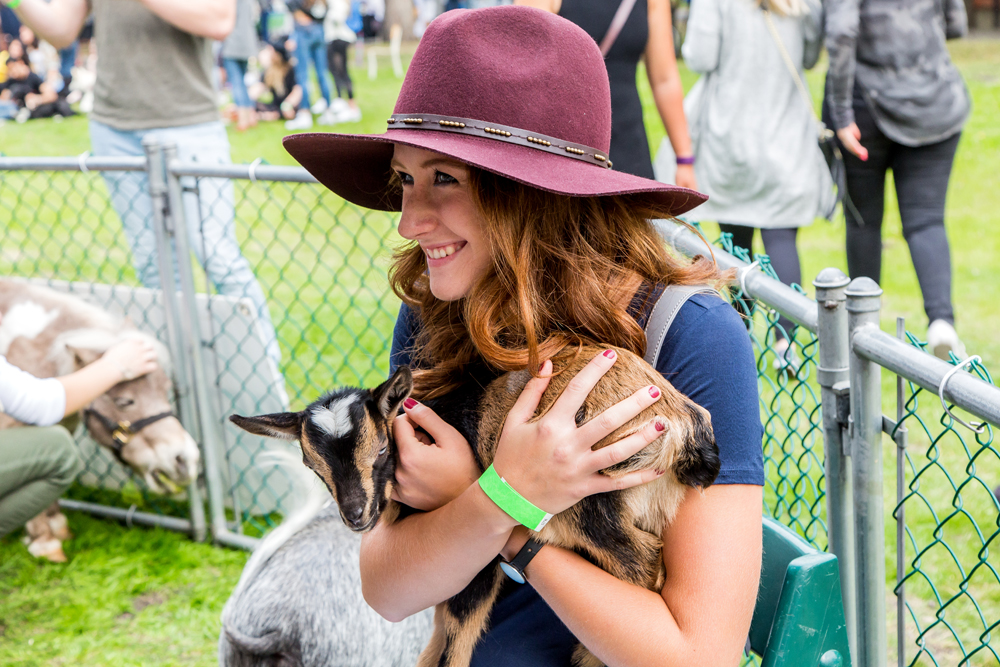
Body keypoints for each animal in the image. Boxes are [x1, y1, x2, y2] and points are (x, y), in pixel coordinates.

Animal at [232, 348, 720, 667]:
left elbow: (456, 632)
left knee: (642, 562)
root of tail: (683, 424)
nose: (356, 516)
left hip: (587, 500)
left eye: (382, 450)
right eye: (312, 467)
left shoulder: (479, 558)